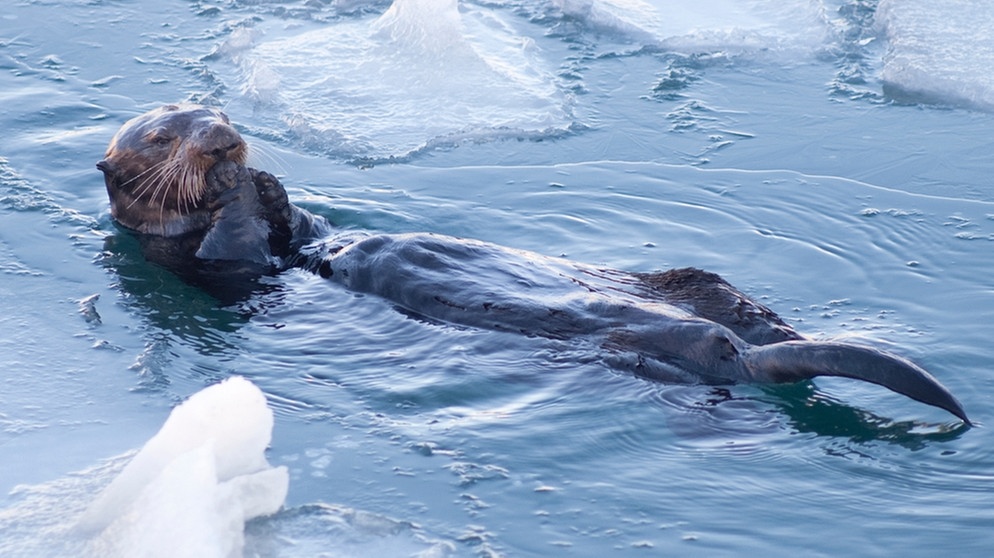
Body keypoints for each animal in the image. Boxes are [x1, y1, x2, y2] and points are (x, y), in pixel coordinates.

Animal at [97, 104, 964, 424]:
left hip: (704, 291)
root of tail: (736, 351)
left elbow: (305, 224)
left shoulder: (302, 232)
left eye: (215, 109)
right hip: (655, 358)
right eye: (165, 136)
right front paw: (236, 190)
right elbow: (230, 252)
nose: (223, 139)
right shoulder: (200, 268)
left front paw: (268, 182)